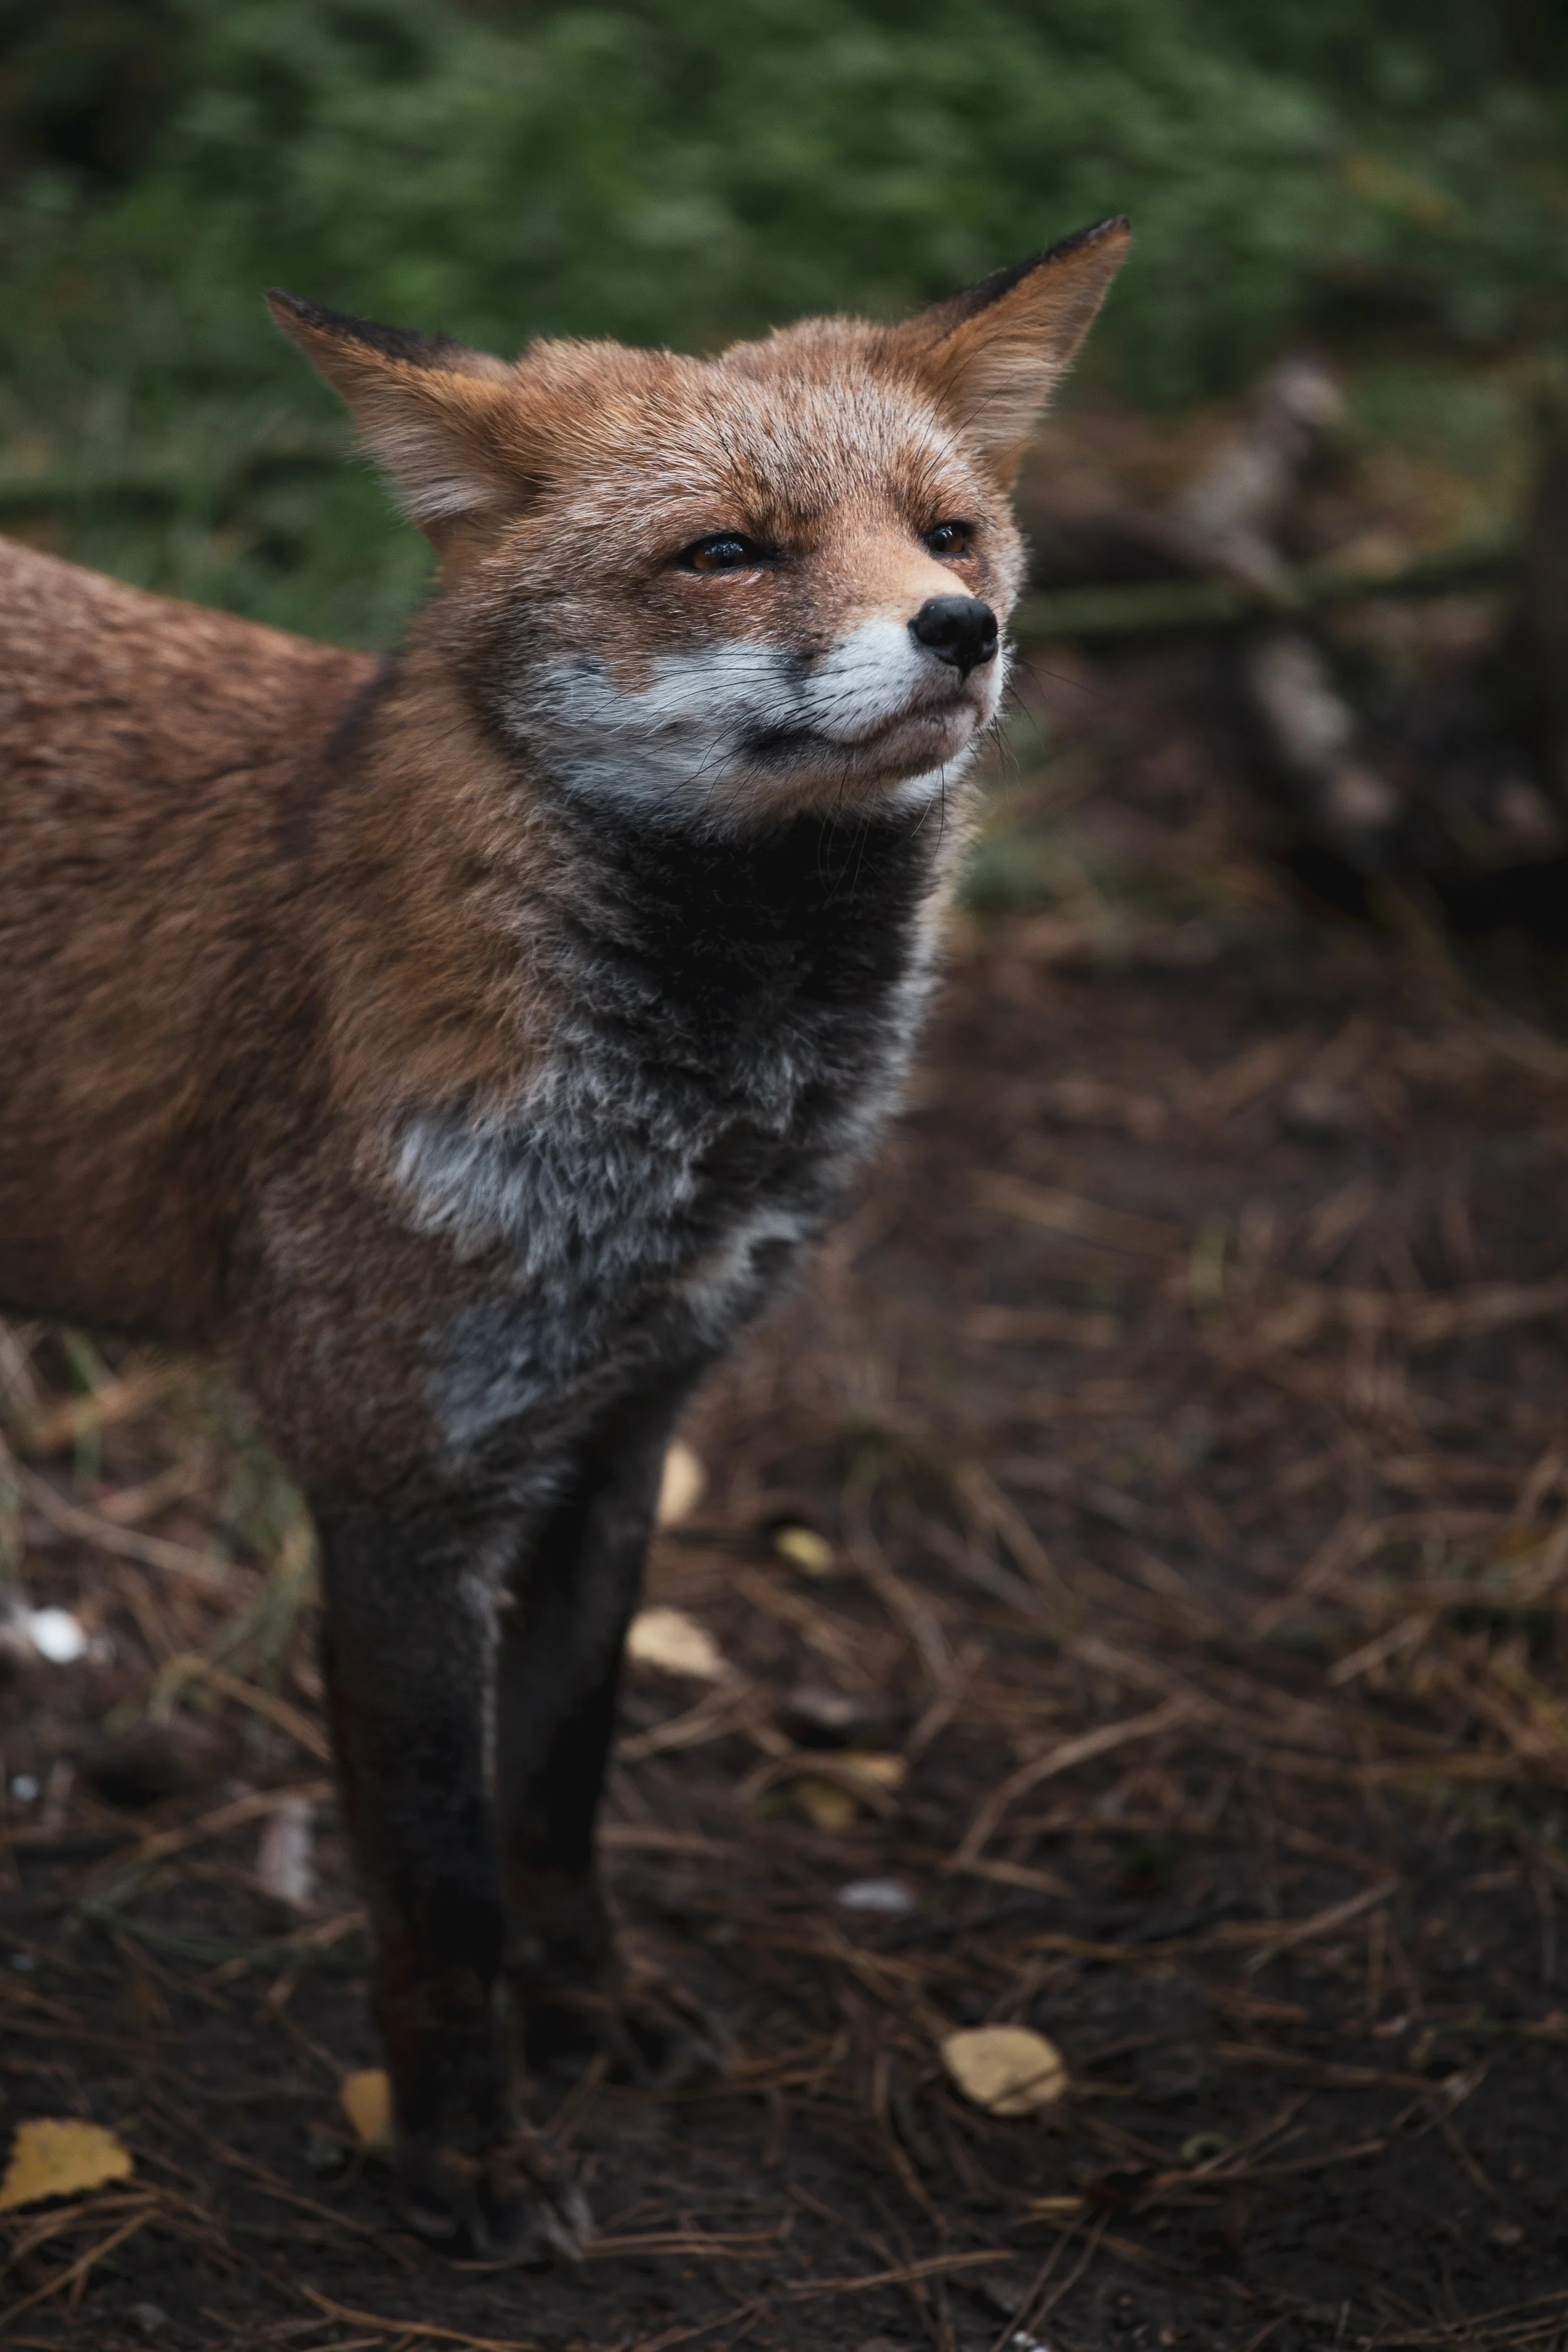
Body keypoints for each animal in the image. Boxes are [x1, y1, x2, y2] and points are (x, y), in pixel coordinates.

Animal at [0, 217, 1127, 2258]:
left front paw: (592, 2007)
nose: (962, 630)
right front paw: (464, 2144)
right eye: (727, 550)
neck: (701, 1126)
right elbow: (441, 1883)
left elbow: (558, 1794)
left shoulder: (625, 1432)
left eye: (946, 533)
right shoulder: (394, 1474)